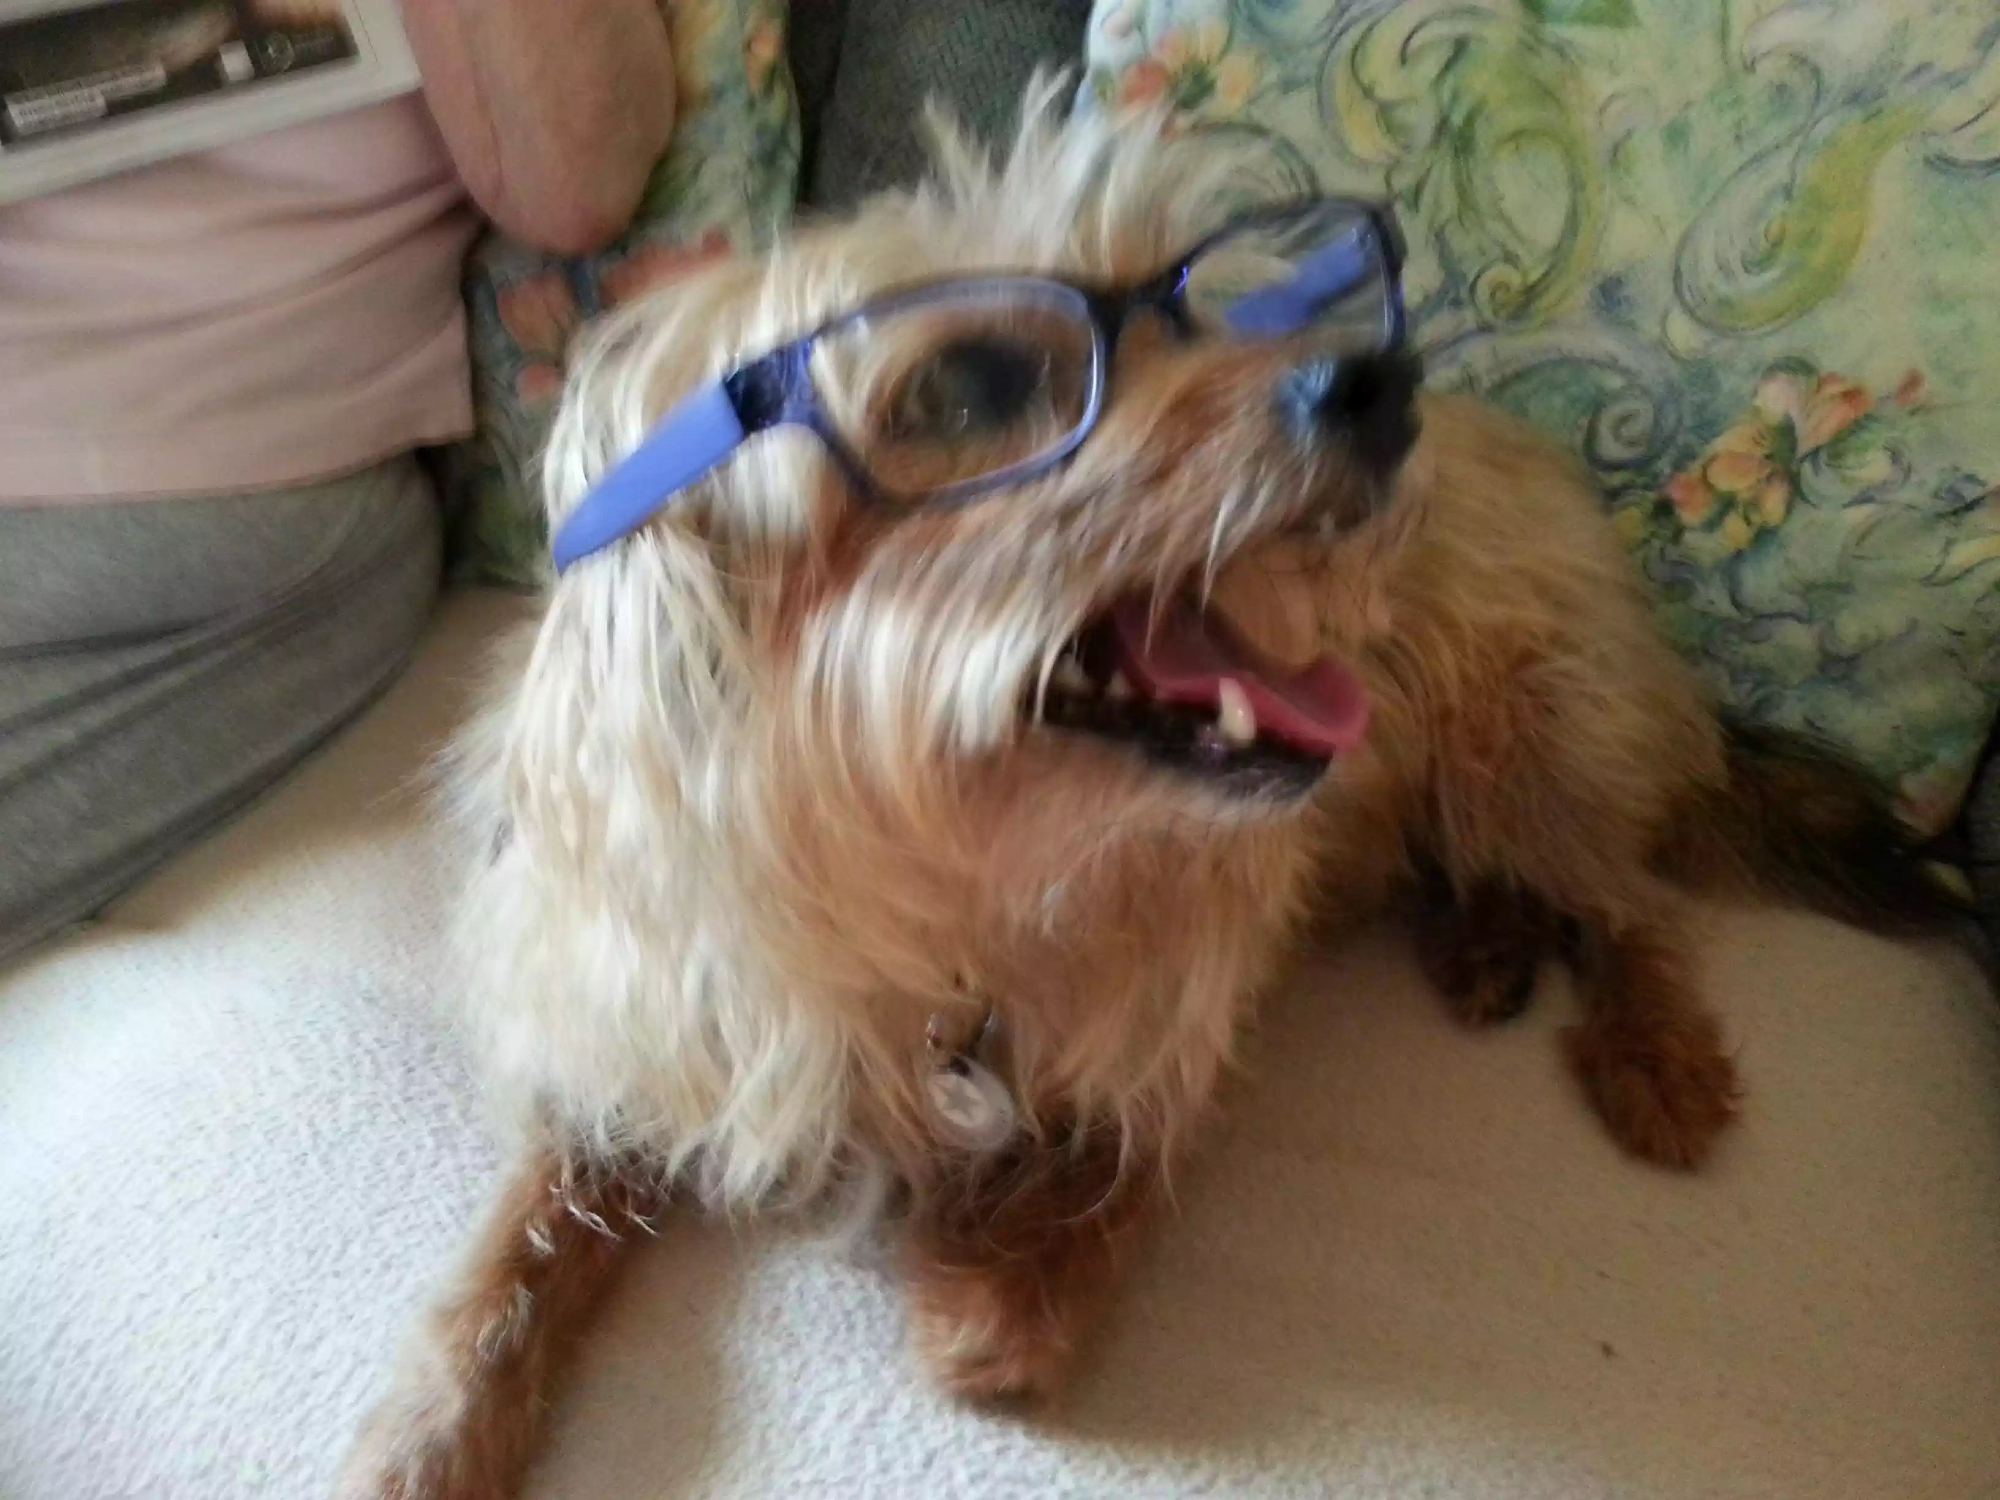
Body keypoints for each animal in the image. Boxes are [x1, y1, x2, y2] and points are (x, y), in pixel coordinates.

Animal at [339, 88, 1962, 1499]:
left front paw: (1007, 1294)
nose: (1379, 382)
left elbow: (1125, 1142)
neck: (947, 891)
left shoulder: (1192, 973)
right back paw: (1483, 948)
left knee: (1624, 897)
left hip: (1528, 726)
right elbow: (529, 1229)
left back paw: (1649, 1043)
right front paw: (438, 1411)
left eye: (1199, 305)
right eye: (969, 382)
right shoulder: (640, 1012)